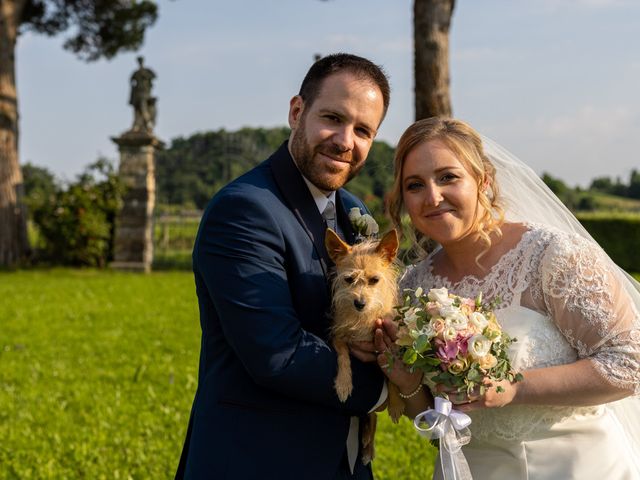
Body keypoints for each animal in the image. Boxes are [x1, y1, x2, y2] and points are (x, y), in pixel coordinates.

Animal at [324, 229, 404, 464]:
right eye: (349, 279)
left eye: (374, 280)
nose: (359, 303)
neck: (363, 318)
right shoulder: (339, 337)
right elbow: (343, 356)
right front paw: (343, 383)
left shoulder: (387, 339)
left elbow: (391, 372)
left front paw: (396, 403)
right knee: (369, 416)